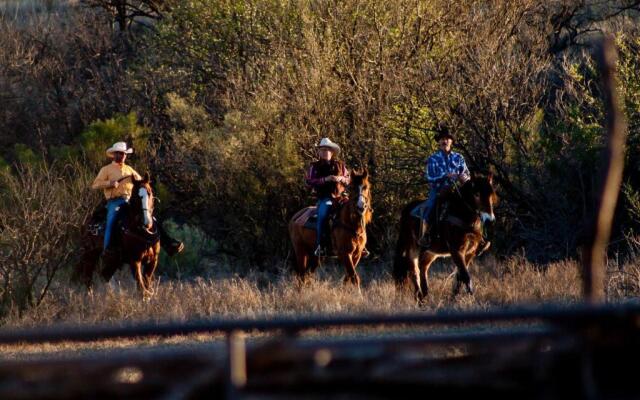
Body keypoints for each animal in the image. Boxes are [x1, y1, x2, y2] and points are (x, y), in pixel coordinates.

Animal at [392, 173, 498, 302]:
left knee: (423, 268)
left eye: (491, 195)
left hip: (430, 252)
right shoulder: (456, 251)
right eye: (476, 194)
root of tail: (406, 211)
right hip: (412, 249)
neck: (461, 215)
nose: (490, 220)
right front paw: (471, 298)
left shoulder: (470, 252)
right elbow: (465, 276)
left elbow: (460, 277)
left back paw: (425, 295)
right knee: (414, 270)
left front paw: (454, 298)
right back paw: (419, 297)